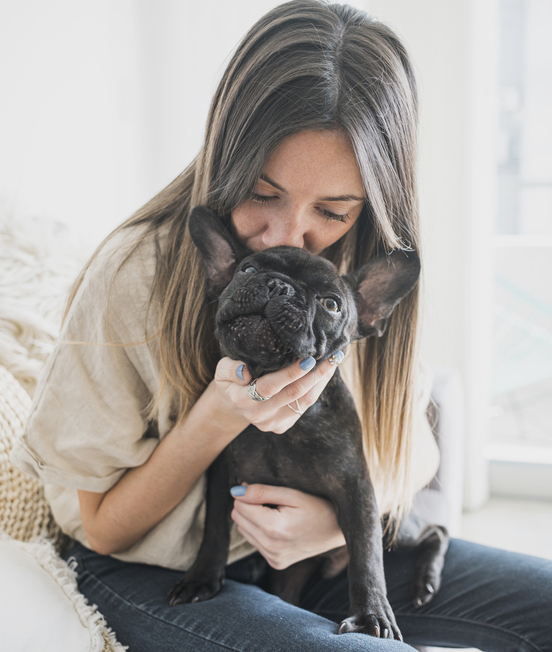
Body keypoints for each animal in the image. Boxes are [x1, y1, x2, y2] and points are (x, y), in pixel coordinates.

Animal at [170, 206, 450, 640]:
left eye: (332, 304)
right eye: (247, 269)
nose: (278, 287)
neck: (286, 426)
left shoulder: (358, 492)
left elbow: (366, 556)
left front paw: (372, 614)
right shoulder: (221, 477)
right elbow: (214, 529)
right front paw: (201, 578)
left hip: (395, 527)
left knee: (436, 532)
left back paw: (426, 580)